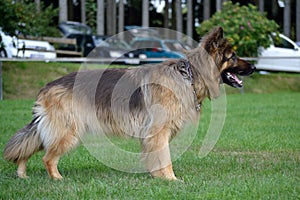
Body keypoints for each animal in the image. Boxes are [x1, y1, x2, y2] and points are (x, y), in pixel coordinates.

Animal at [2, 26, 255, 180]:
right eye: (233, 56)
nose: (253, 67)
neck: (190, 75)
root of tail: (47, 86)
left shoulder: (154, 135)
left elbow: (157, 158)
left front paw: (159, 178)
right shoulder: (158, 132)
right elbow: (166, 159)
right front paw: (172, 180)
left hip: (53, 130)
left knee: (28, 148)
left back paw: (22, 174)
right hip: (67, 132)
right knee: (47, 157)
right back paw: (57, 179)